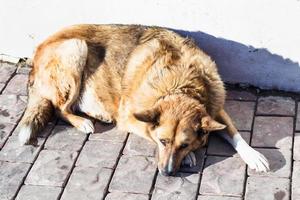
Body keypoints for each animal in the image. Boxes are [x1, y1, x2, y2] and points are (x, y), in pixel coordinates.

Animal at [18, 24, 270, 175]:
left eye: (184, 144)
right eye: (163, 141)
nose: (167, 173)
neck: (180, 85)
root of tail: (35, 54)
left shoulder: (216, 108)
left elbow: (234, 133)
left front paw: (253, 155)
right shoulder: (130, 118)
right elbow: (149, 129)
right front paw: (189, 157)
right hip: (76, 48)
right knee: (59, 108)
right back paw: (82, 121)